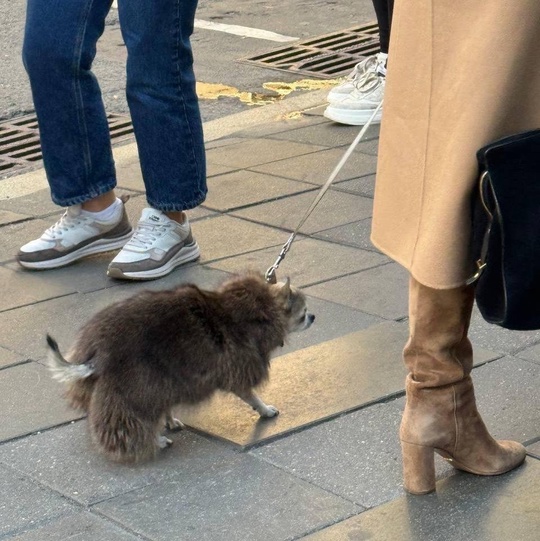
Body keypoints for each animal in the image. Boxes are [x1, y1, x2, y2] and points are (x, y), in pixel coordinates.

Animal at [49, 272, 316, 462]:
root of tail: (98, 347)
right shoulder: (237, 363)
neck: (260, 308)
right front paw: (263, 408)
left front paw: (169, 417)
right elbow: (248, 392)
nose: (313, 317)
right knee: (127, 413)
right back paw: (151, 441)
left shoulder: (176, 373)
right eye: (303, 314)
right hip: (134, 378)